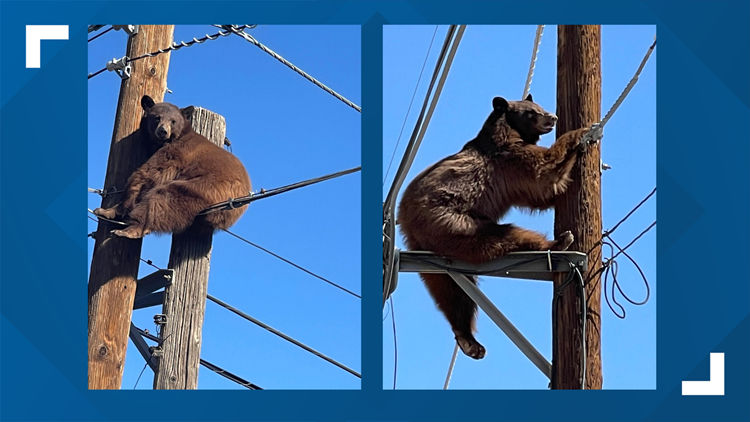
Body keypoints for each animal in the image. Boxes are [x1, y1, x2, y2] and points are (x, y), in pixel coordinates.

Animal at [93, 95, 253, 239]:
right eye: (157, 117)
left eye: (173, 121)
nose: (163, 131)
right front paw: (105, 211)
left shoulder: (176, 153)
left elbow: (149, 174)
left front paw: (109, 210)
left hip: (208, 188)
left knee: (163, 199)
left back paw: (130, 230)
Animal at [396, 94, 596, 358]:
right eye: (532, 111)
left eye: (540, 106)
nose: (552, 117)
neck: (507, 130)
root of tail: (405, 217)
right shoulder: (507, 159)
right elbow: (542, 174)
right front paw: (582, 133)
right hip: (454, 222)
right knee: (502, 236)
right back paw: (559, 242)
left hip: (431, 248)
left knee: (449, 290)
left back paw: (468, 340)